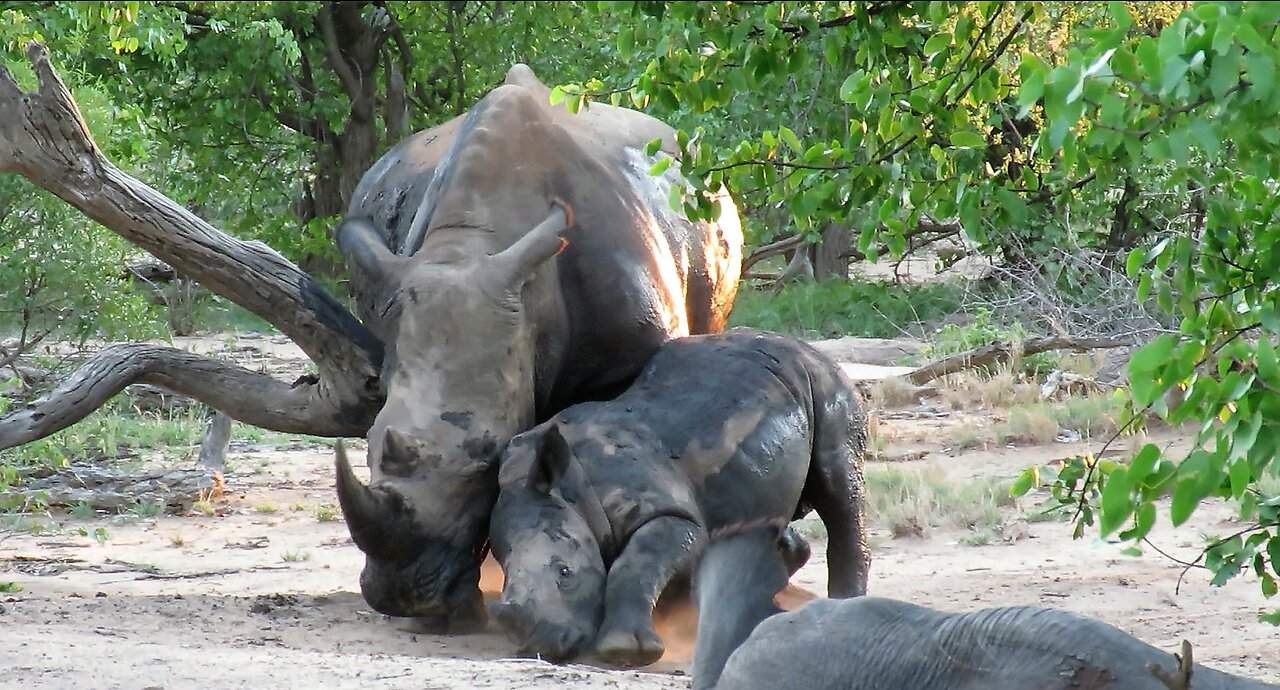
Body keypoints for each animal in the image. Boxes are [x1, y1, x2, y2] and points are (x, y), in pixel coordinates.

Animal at [486, 330, 870, 670]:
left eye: (565, 573)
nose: (544, 645)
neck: (572, 493)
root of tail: (806, 346)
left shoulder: (669, 513)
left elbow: (636, 563)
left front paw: (626, 651)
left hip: (826, 386)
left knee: (839, 486)